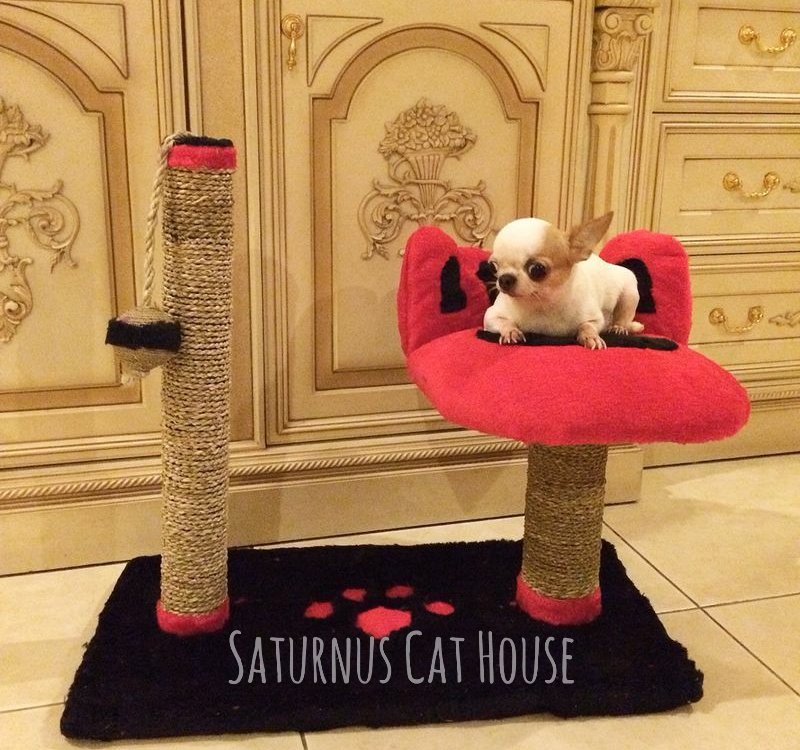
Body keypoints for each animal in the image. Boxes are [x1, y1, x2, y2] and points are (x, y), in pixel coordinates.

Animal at [483, 212, 643, 349]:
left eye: (537, 269)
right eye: (492, 267)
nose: (504, 279)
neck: (542, 303)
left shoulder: (595, 319)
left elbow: (587, 326)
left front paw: (590, 336)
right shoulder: (490, 317)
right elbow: (504, 321)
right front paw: (510, 331)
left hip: (630, 293)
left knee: (623, 317)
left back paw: (619, 327)